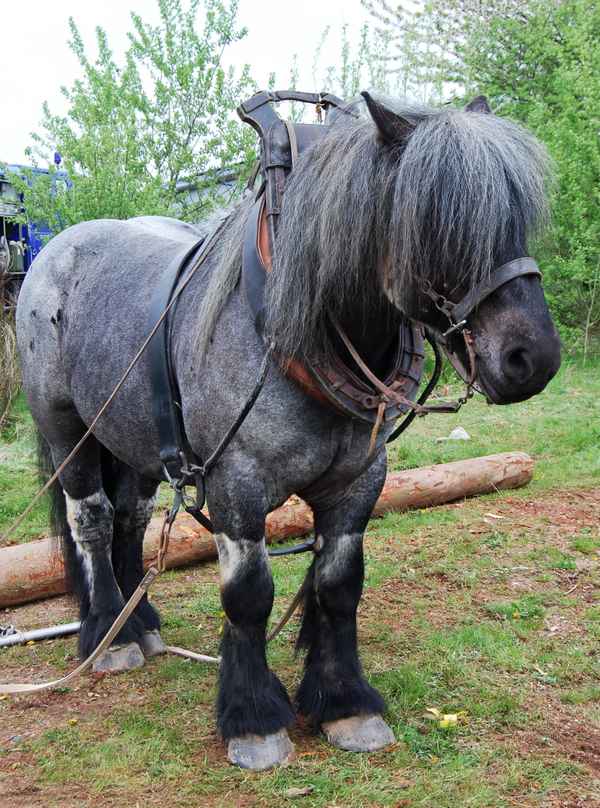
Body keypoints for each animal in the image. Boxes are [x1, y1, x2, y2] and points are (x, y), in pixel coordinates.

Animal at [15, 92, 561, 770]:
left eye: (516, 216)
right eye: (438, 221)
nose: (532, 358)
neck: (292, 326)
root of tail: (55, 251)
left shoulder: (358, 482)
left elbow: (339, 586)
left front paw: (345, 704)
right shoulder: (236, 485)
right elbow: (249, 596)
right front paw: (254, 721)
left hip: (134, 438)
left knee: (130, 518)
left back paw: (140, 624)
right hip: (66, 428)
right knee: (89, 518)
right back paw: (107, 636)